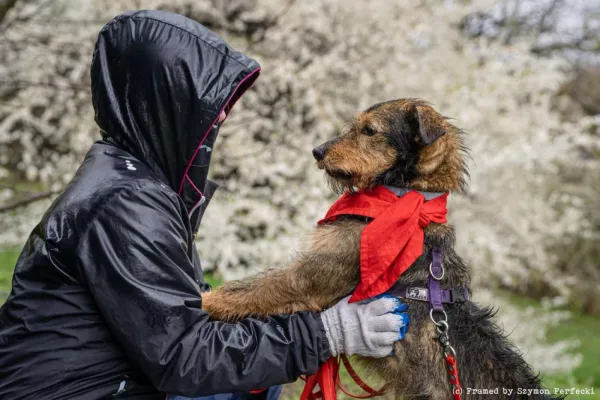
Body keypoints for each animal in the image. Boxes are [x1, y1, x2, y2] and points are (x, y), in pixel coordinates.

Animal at [200, 98, 556, 398]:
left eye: (369, 130)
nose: (317, 151)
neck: (401, 198)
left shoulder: (306, 279)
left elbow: (245, 290)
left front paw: (201, 301)